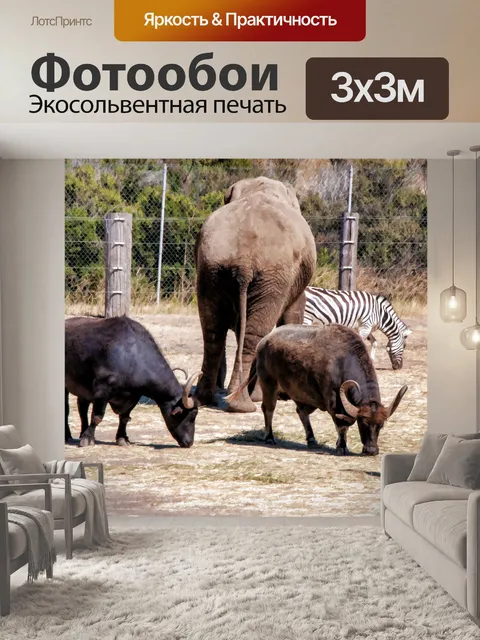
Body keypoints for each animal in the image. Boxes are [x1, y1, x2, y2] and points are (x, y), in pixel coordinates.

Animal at [194, 176, 317, 413]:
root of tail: (244, 258)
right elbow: (293, 311)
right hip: (272, 275)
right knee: (255, 333)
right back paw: (244, 401)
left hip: (211, 268)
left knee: (213, 330)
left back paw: (206, 398)